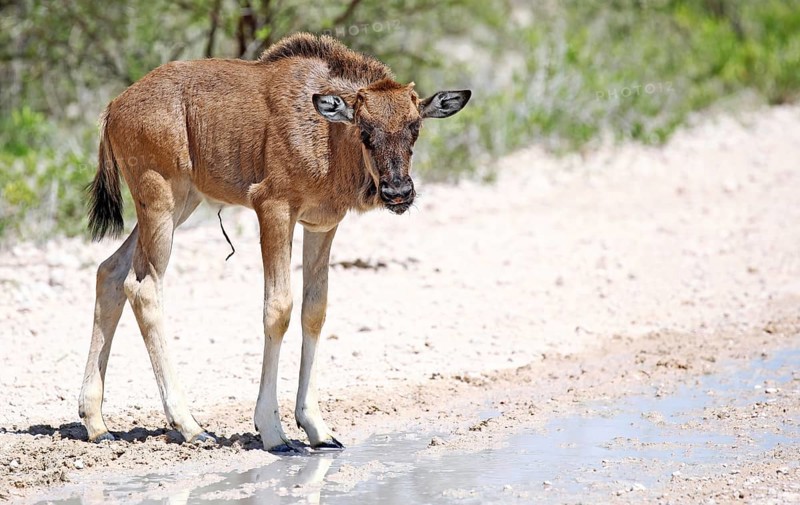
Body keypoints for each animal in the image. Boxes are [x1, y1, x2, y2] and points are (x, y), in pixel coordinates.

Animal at [78, 33, 471, 452]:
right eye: (365, 130)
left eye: (415, 127)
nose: (398, 192)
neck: (326, 133)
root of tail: (114, 107)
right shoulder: (273, 209)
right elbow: (278, 308)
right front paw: (272, 430)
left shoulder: (321, 225)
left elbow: (314, 311)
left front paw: (316, 427)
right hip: (162, 204)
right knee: (144, 287)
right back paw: (189, 425)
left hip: (180, 204)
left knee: (110, 272)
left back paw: (96, 422)